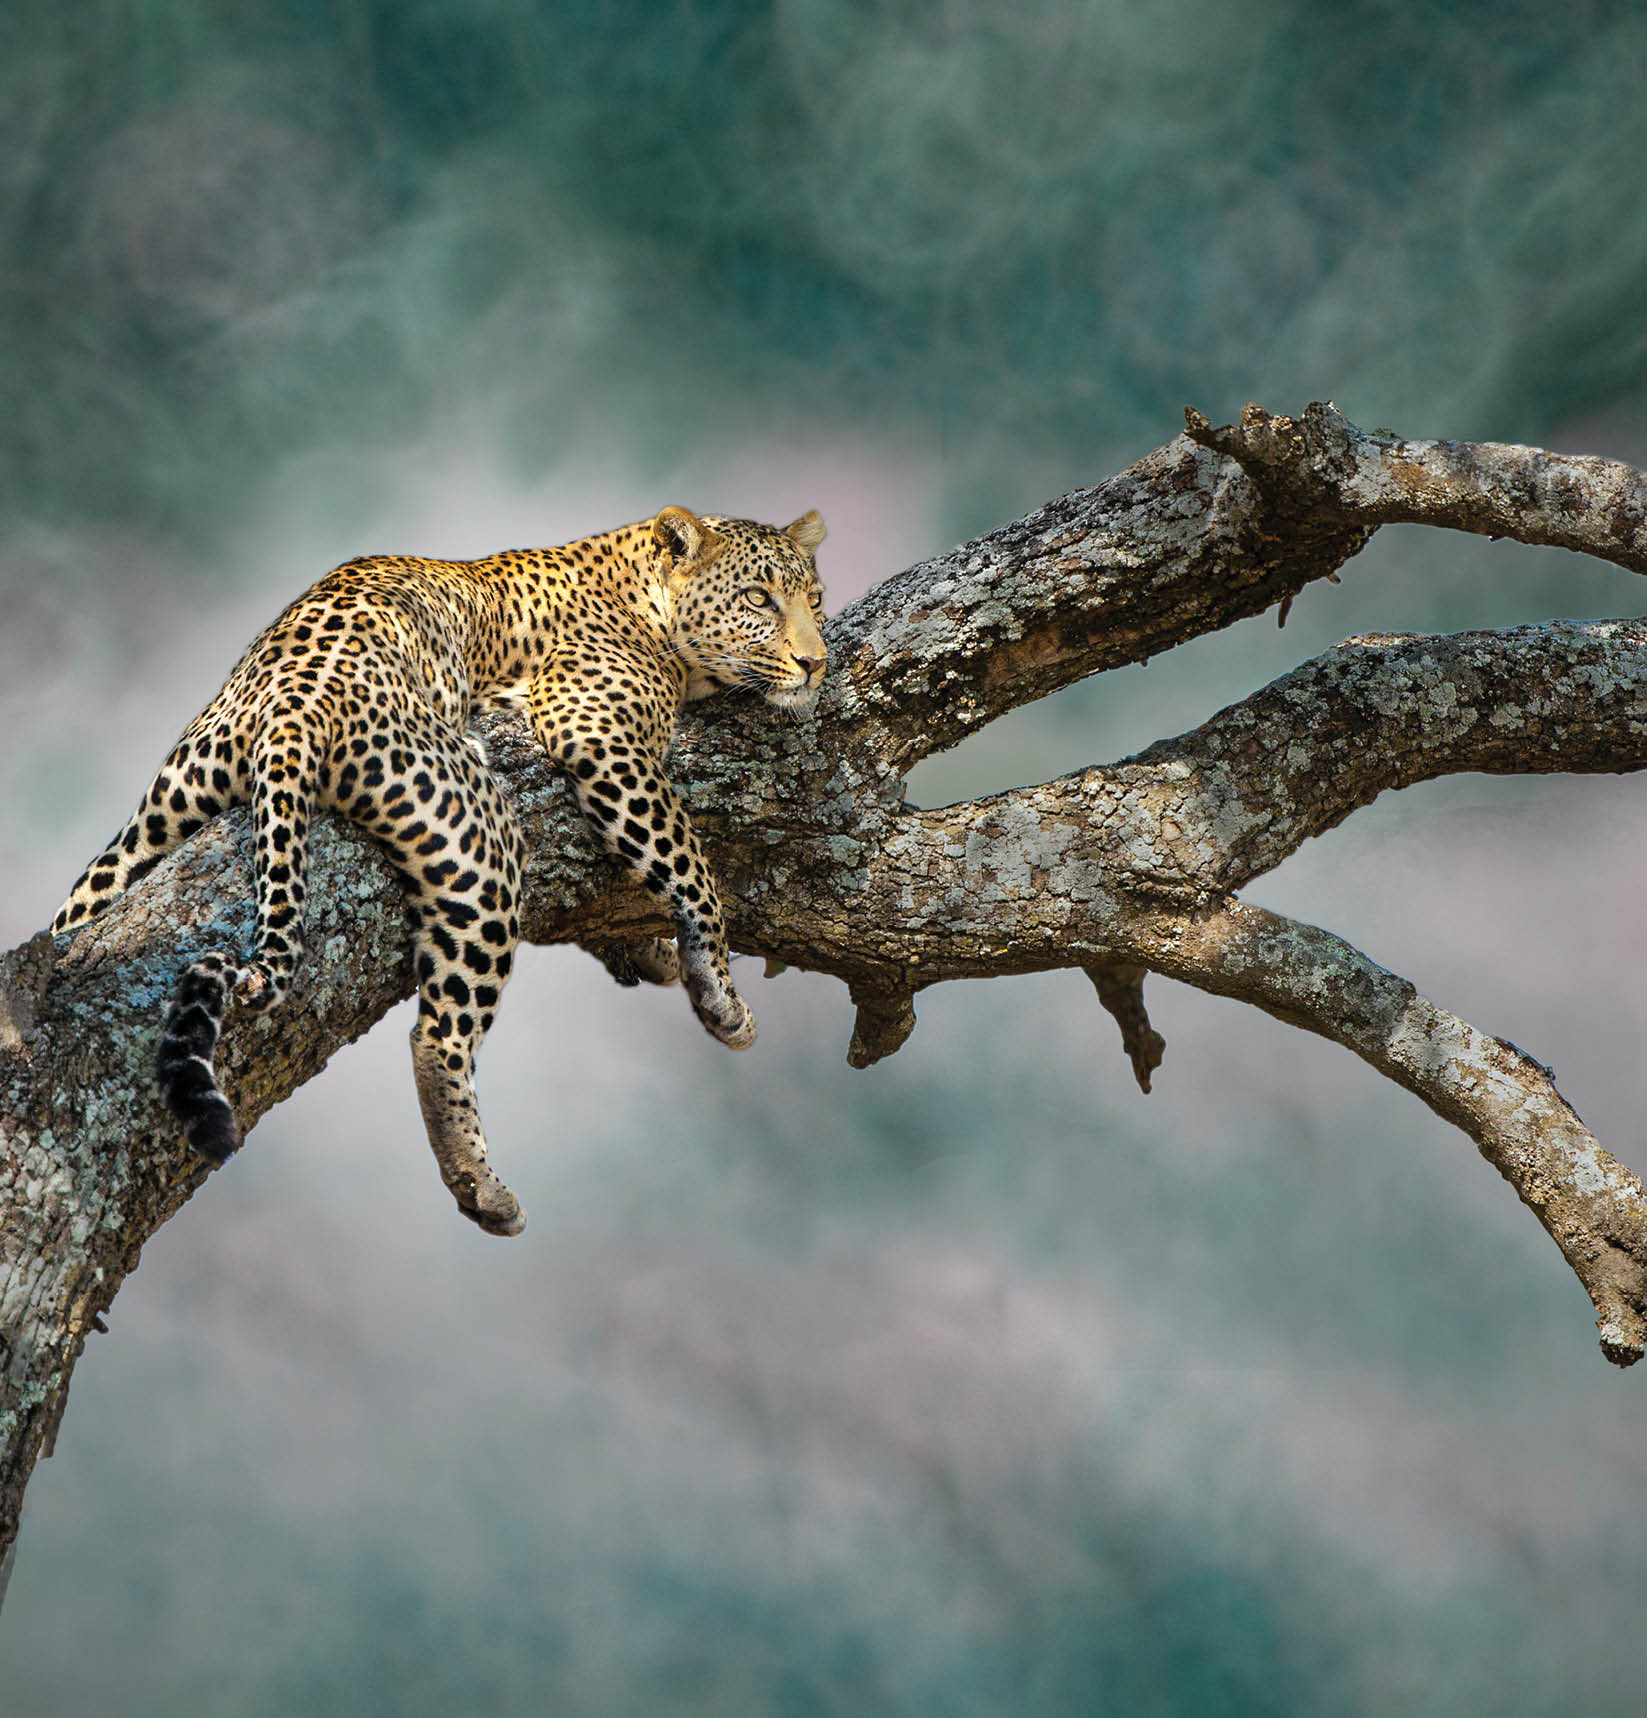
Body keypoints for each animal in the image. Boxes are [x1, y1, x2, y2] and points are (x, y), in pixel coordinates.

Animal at [51, 506, 828, 1236]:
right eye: (759, 599)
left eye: (815, 599)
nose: (816, 664)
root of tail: (293, 703)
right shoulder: (601, 736)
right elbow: (689, 861)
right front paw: (717, 991)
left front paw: (650, 951)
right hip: (482, 838)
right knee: (438, 1034)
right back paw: (481, 1188)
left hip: (156, 823)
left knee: (76, 914)